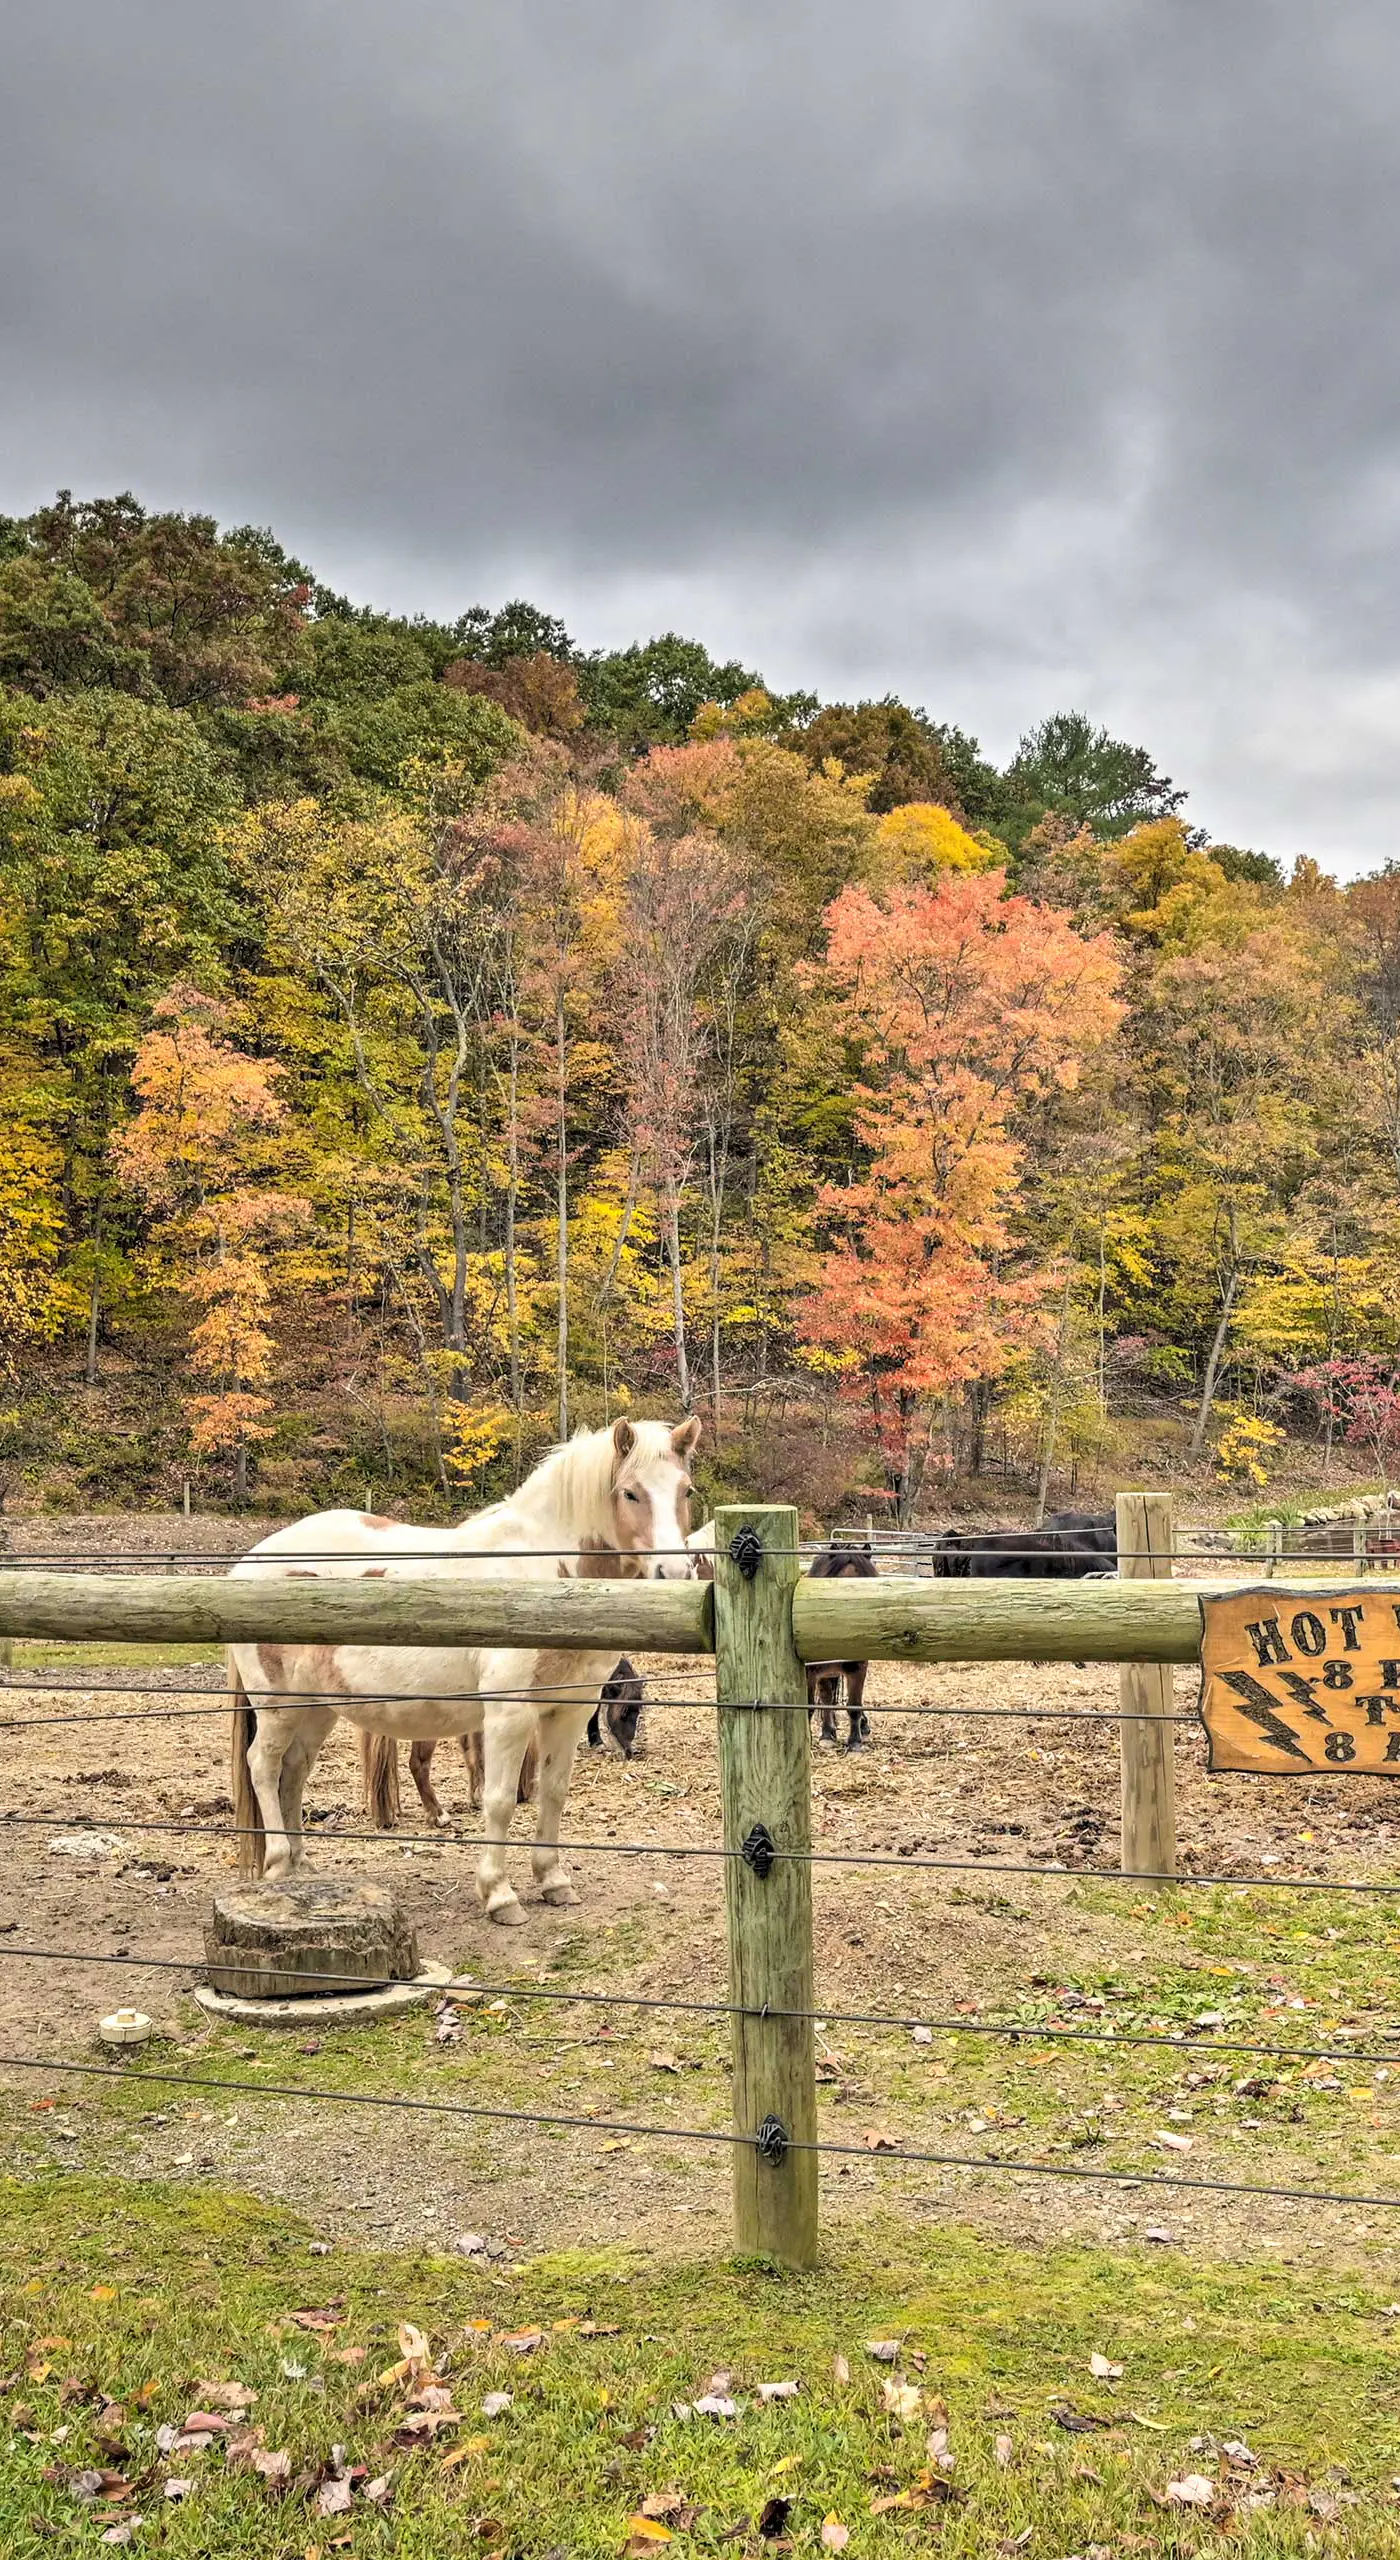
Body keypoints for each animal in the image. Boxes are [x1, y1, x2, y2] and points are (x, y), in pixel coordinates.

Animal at [226, 1414, 700, 1926]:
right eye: (630, 1493)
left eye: (686, 1491)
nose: (674, 1574)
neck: (544, 1575)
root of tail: (245, 1566)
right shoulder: (509, 1715)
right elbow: (499, 1799)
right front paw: (500, 1895)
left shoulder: (570, 1711)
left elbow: (553, 1791)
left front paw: (553, 1881)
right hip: (278, 1707)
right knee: (264, 1766)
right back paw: (279, 1863)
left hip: (318, 1709)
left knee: (293, 1772)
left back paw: (302, 1864)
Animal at [805, 1540, 877, 1746]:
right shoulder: (809, 1671)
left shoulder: (858, 1666)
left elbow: (854, 1706)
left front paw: (855, 1743)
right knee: (826, 1696)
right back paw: (827, 1734)